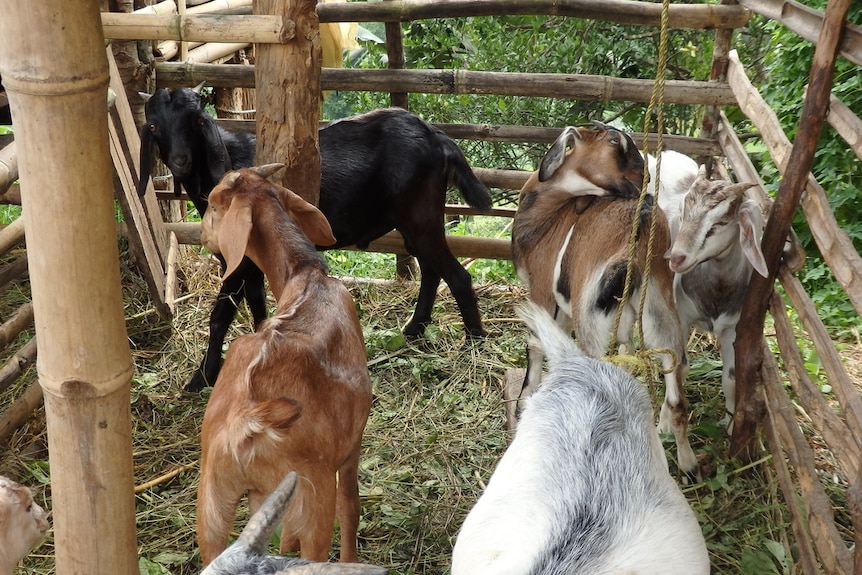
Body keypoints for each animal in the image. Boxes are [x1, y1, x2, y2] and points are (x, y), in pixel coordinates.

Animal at [140, 85, 492, 392]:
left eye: (196, 120)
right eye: (154, 125)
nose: (180, 161)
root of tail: (436, 136)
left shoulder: (237, 263)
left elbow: (220, 315)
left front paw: (201, 378)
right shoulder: (253, 262)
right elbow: (257, 304)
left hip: (420, 217)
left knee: (457, 275)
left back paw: (475, 341)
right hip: (414, 223)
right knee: (432, 270)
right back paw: (415, 329)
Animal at [197, 164, 372, 564]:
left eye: (213, 203)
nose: (200, 233)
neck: (306, 274)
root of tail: (247, 424)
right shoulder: (351, 445)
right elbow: (350, 507)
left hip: (212, 503)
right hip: (312, 496)